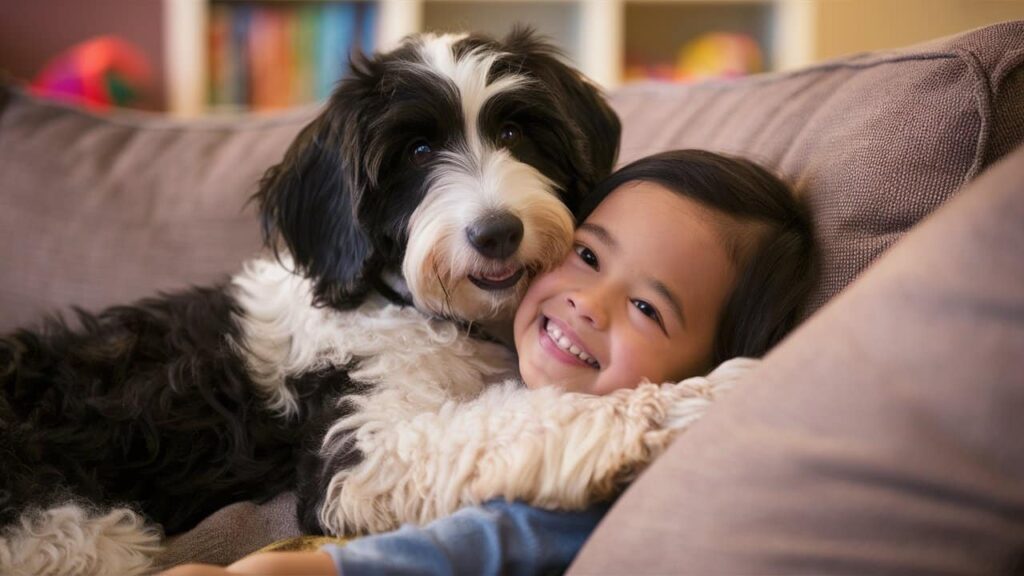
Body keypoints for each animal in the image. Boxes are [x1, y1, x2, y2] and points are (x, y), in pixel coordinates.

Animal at [2, 28, 622, 573]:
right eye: (418, 151)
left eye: (515, 134)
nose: (496, 233)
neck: (413, 307)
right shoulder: (353, 442)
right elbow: (478, 427)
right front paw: (617, 418)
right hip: (79, 534)